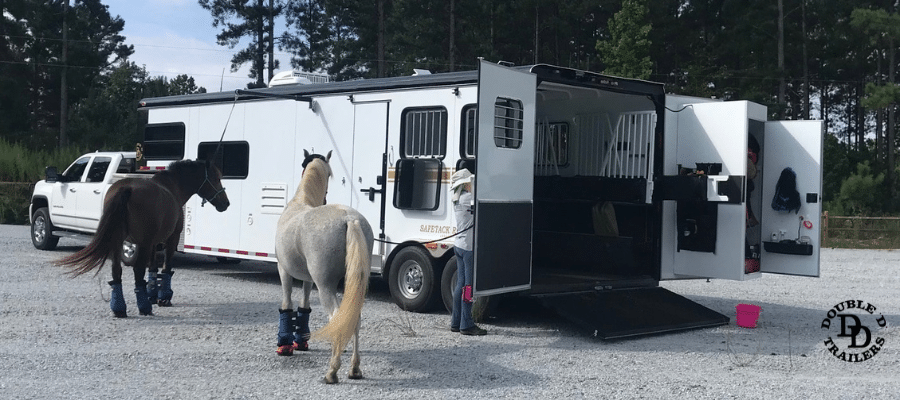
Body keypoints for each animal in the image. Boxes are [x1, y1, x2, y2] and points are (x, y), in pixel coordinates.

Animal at [55, 158, 229, 318]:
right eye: (216, 178)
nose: (225, 203)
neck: (173, 187)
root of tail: (126, 188)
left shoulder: (153, 242)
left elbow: (152, 268)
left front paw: (152, 294)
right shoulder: (171, 238)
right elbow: (166, 267)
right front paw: (164, 297)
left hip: (118, 240)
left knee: (116, 271)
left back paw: (119, 308)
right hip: (141, 243)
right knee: (137, 271)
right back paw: (144, 307)